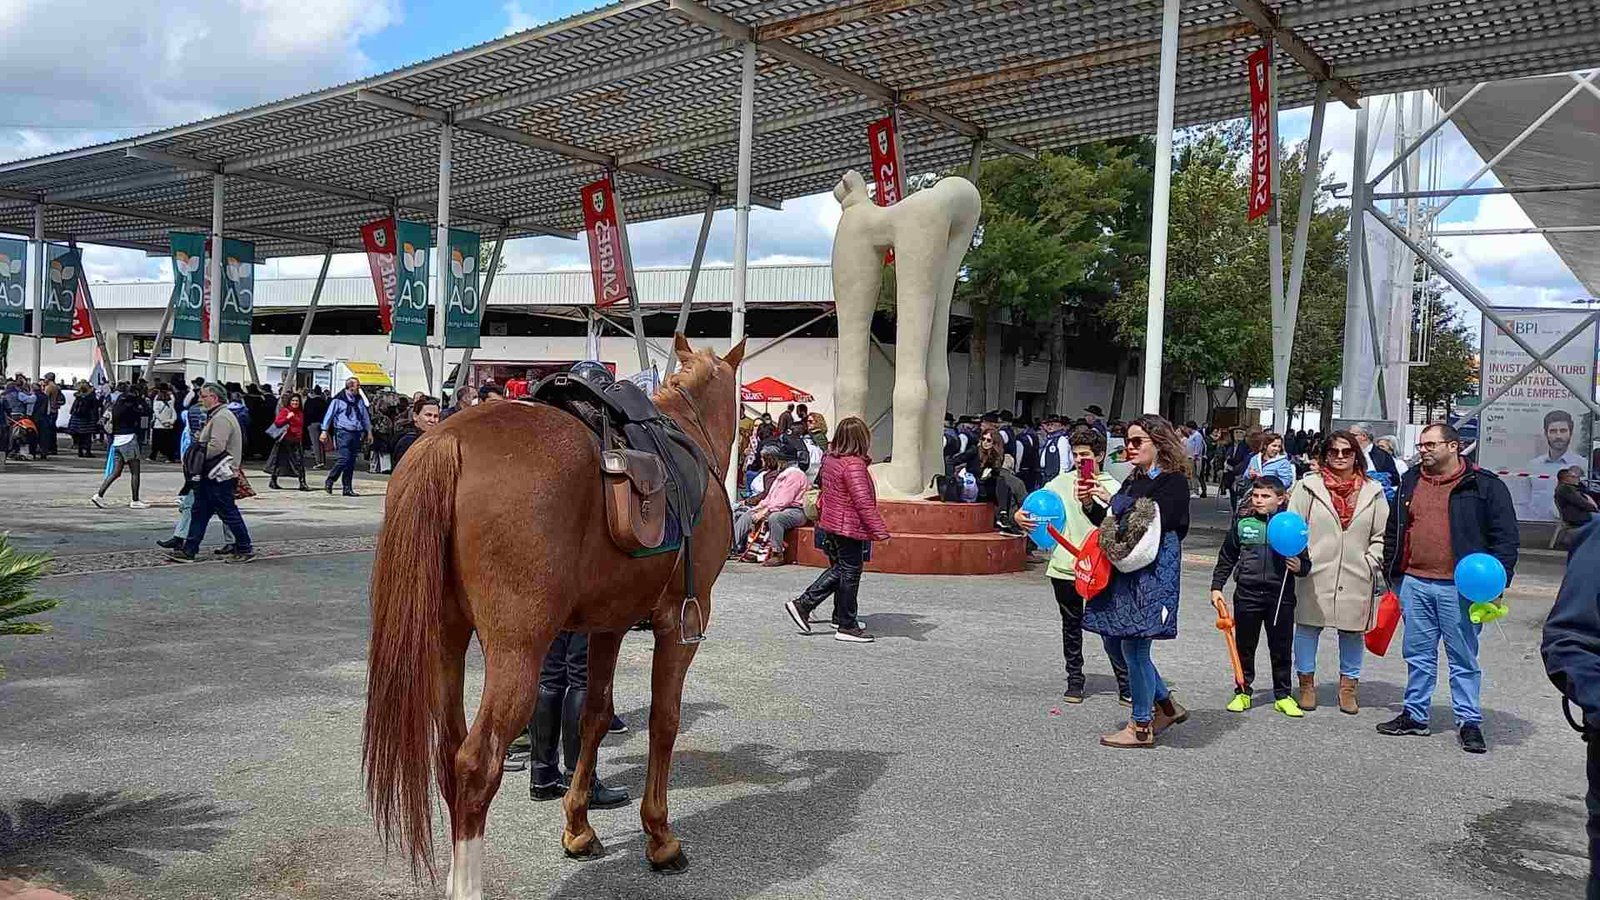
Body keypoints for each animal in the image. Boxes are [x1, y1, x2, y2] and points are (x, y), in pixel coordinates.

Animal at [363, 333, 742, 890]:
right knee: (476, 764)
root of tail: (445, 441)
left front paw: (579, 828)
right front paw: (660, 837)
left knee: (449, 756)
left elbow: (593, 717)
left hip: (446, 641)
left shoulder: (609, 625)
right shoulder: (682, 622)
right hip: (518, 651)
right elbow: (664, 720)